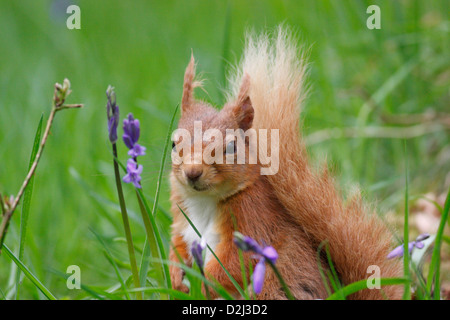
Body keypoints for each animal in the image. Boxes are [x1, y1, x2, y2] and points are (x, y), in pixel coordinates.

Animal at [170, 27, 404, 300]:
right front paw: (176, 277)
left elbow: (236, 262)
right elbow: (177, 246)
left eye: (230, 148)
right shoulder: (182, 218)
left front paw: (203, 282)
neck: (205, 202)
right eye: (173, 144)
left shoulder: (254, 219)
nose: (192, 173)